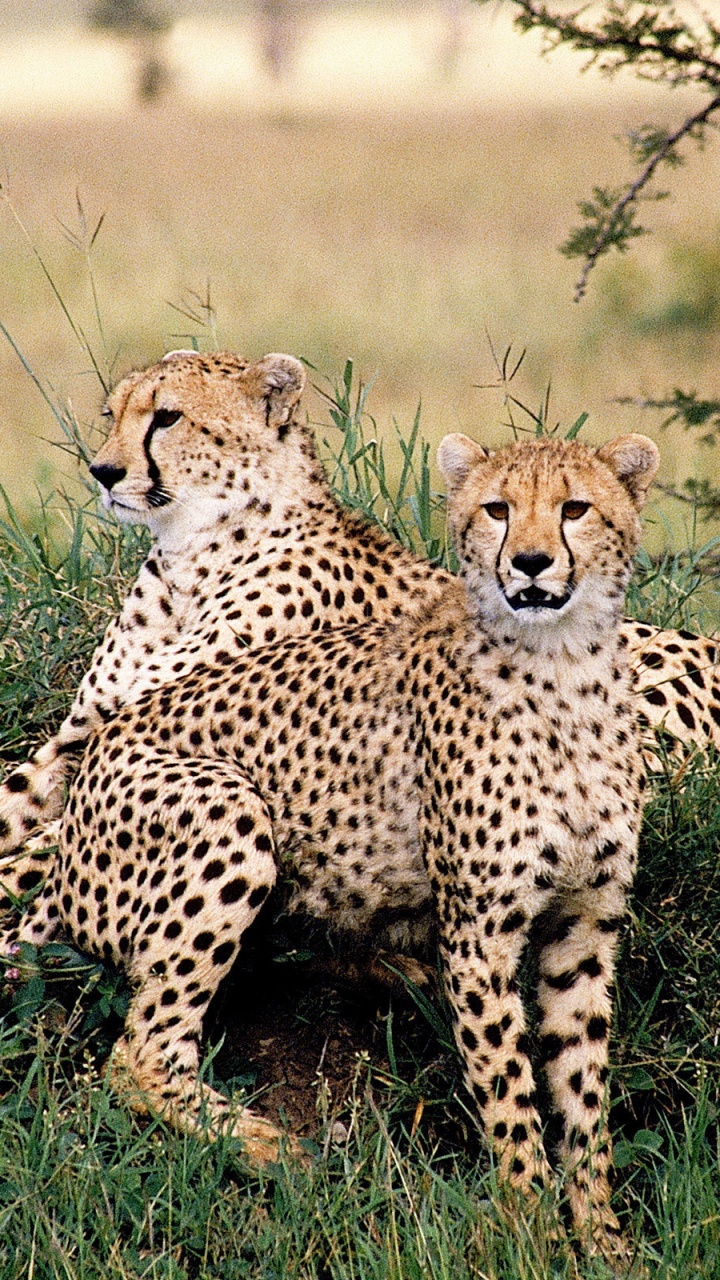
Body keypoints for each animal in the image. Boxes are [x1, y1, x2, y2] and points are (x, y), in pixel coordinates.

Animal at [1, 348, 718, 915]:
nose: (103, 472)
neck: (190, 559)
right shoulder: (79, 743)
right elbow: (13, 799)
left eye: (166, 417)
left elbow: (42, 848)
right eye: (112, 415)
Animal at [1, 429, 661, 1265]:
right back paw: (273, 1149)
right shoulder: (479, 933)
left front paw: (603, 1240)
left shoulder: (585, 926)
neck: (564, 662)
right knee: (142, 1052)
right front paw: (531, 1234)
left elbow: (582, 1093)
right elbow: (509, 1091)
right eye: (496, 510)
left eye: (575, 508)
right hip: (230, 810)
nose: (533, 562)